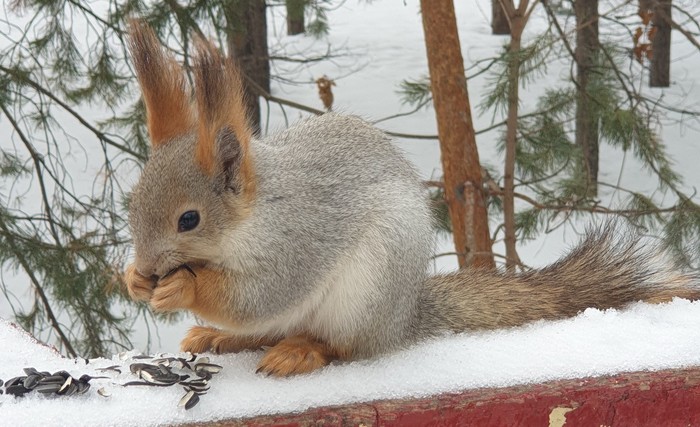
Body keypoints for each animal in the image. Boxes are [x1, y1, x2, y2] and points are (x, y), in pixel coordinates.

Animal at [123, 22, 696, 378]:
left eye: (189, 219)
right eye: (132, 203)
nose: (148, 267)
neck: (252, 215)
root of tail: (403, 316)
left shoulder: (300, 238)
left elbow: (258, 295)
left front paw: (183, 287)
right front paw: (133, 280)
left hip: (366, 293)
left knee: (342, 345)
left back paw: (302, 350)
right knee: (266, 331)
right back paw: (219, 338)